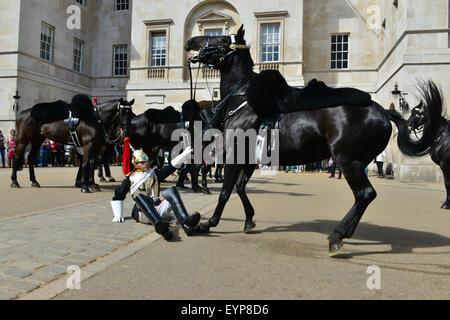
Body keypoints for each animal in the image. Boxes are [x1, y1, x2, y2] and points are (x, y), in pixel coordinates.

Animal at [185, 25, 444, 256]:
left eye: (220, 38)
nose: (190, 43)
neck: (243, 99)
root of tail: (381, 110)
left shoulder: (234, 155)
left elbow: (226, 191)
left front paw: (208, 223)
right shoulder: (249, 159)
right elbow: (240, 188)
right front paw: (249, 220)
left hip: (349, 161)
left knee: (365, 194)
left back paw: (337, 236)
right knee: (364, 197)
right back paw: (343, 234)